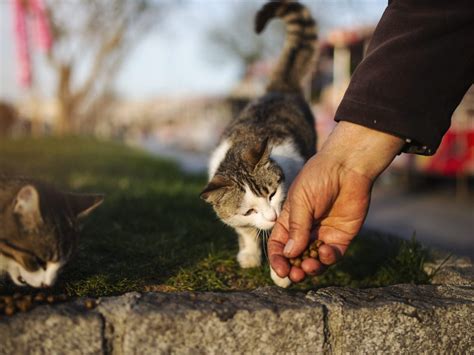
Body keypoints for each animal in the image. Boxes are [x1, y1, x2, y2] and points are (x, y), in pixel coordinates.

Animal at [201, 0, 318, 290]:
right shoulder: (235, 218)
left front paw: (281, 275)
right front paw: (250, 255)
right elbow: (245, 232)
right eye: (250, 210)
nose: (273, 217)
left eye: (272, 194)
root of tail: (279, 88)